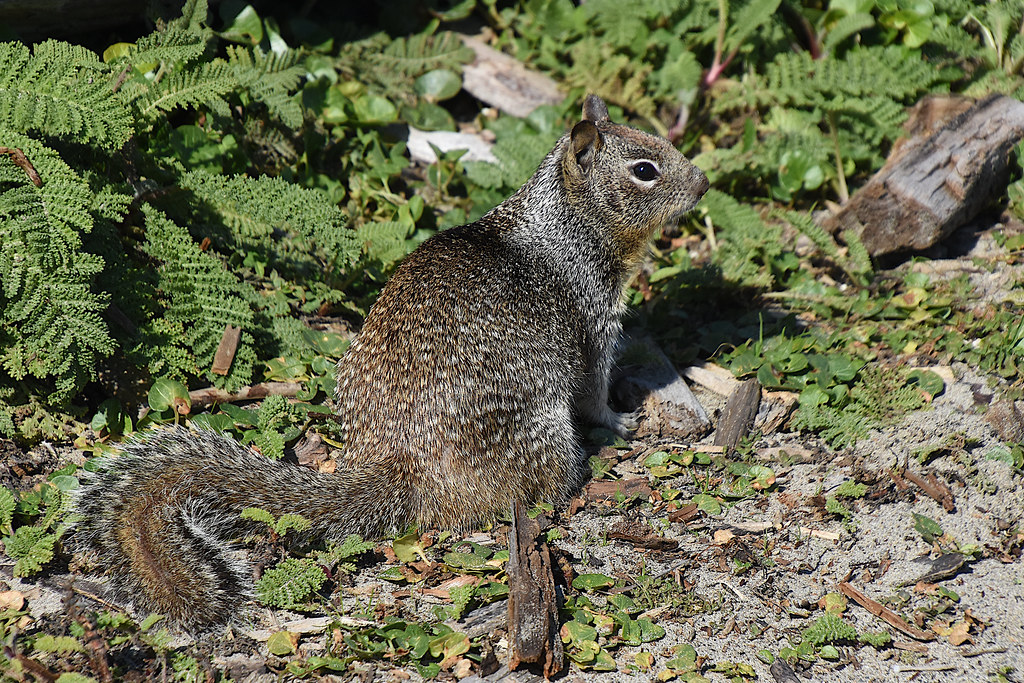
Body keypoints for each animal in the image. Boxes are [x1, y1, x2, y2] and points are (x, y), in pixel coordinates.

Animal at [73, 95, 709, 628]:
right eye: (645, 169)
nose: (704, 182)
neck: (568, 224)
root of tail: (395, 464)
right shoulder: (594, 322)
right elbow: (595, 390)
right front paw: (622, 421)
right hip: (543, 433)